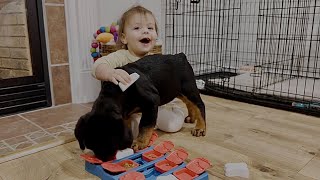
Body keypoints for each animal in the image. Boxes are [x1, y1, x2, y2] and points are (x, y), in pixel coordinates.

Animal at [74, 52, 205, 161]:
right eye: (91, 145)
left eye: (110, 141)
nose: (104, 159)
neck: (116, 93)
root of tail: (180, 56)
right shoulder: (125, 114)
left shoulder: (152, 101)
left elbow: (145, 124)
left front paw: (140, 142)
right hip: (176, 90)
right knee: (189, 102)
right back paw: (192, 117)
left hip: (188, 87)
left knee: (199, 104)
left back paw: (200, 127)